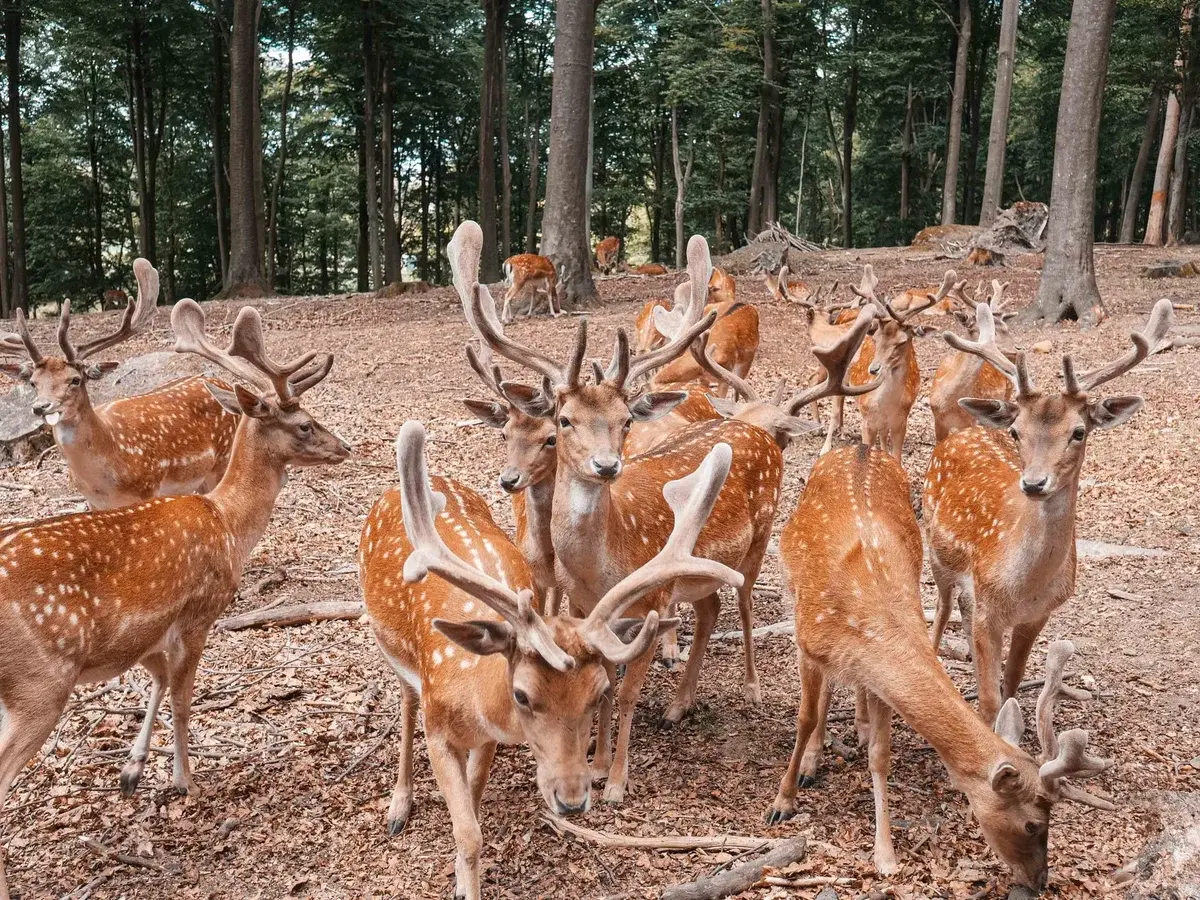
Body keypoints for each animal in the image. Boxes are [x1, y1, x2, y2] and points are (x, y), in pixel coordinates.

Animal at [0, 259, 239, 509]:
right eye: (33, 383)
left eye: (75, 379)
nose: (41, 407)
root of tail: (222, 383)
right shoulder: (93, 502)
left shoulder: (148, 488)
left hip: (222, 461)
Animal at [0, 298, 349, 900]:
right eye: (304, 423)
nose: (344, 446)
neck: (229, 524)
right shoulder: (196, 614)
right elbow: (184, 699)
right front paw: (184, 781)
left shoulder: (140, 637)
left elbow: (158, 682)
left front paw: (134, 771)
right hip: (39, 681)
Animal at [360, 421, 740, 900]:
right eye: (521, 695)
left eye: (598, 693)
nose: (573, 800)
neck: (472, 695)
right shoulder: (439, 732)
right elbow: (468, 833)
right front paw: (463, 884)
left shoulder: (487, 740)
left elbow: (473, 810)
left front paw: (462, 879)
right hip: (388, 647)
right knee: (406, 701)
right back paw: (399, 804)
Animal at [766, 446, 1114, 889]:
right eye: (1033, 823)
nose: (1040, 881)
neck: (869, 621)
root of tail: (860, 447)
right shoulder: (807, 645)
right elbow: (805, 718)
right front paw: (783, 801)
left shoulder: (876, 673)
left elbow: (880, 754)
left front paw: (884, 854)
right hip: (792, 588)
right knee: (823, 696)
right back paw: (812, 763)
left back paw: (857, 727)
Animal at [923, 298, 1173, 725]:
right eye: (1016, 431)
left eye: (1079, 431)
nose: (1034, 484)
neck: (1022, 587)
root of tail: (962, 432)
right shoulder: (988, 609)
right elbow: (989, 701)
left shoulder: (1039, 615)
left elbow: (1011, 683)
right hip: (936, 552)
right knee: (941, 607)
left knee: (961, 609)